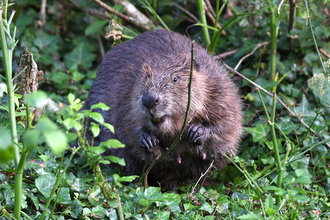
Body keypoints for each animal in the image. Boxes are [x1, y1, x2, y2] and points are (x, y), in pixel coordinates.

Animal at [82, 29, 242, 191]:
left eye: (175, 79)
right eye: (144, 78)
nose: (149, 100)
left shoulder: (218, 89)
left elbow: (228, 122)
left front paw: (197, 131)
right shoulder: (126, 100)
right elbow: (132, 131)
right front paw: (148, 141)